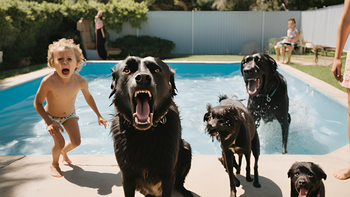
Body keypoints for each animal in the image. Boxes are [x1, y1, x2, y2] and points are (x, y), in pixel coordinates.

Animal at [109, 56, 193, 196]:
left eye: (157, 70)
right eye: (126, 70)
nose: (142, 77)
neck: (144, 133)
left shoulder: (168, 174)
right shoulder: (127, 176)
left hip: (186, 148)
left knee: (179, 183)